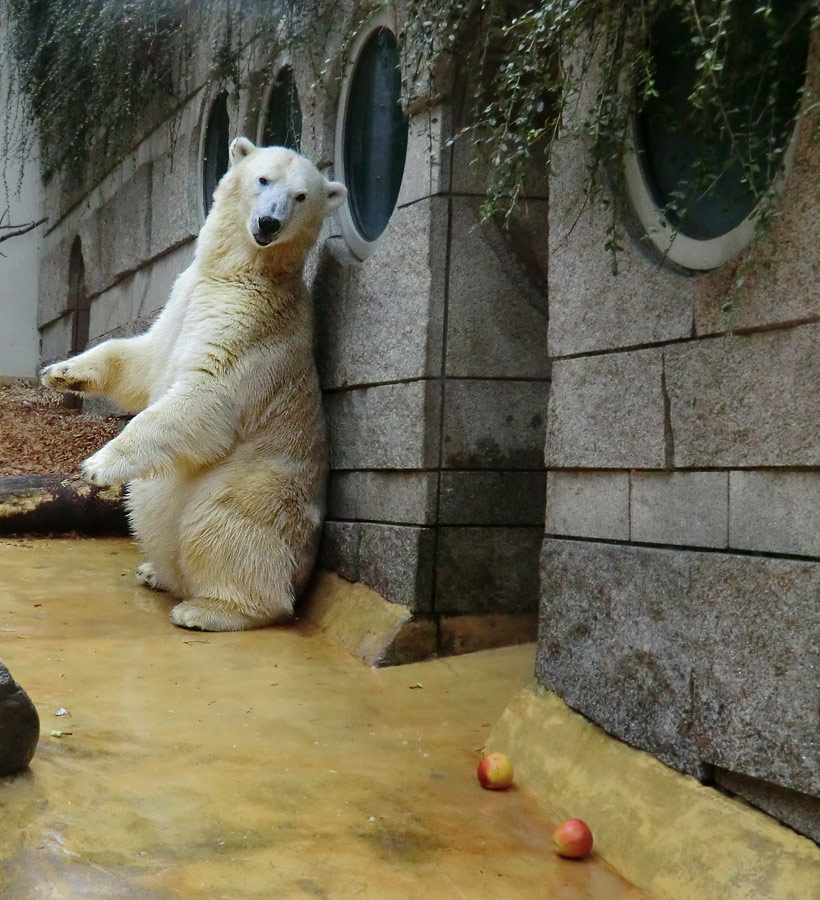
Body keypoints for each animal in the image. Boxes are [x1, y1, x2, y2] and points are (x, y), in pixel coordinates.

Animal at [43, 141, 344, 632]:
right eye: (263, 179)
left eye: (301, 196)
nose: (269, 223)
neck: (243, 274)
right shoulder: (185, 296)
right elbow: (144, 360)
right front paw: (63, 370)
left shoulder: (249, 326)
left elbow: (204, 397)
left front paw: (97, 465)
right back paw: (155, 572)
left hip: (256, 490)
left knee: (219, 526)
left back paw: (208, 609)